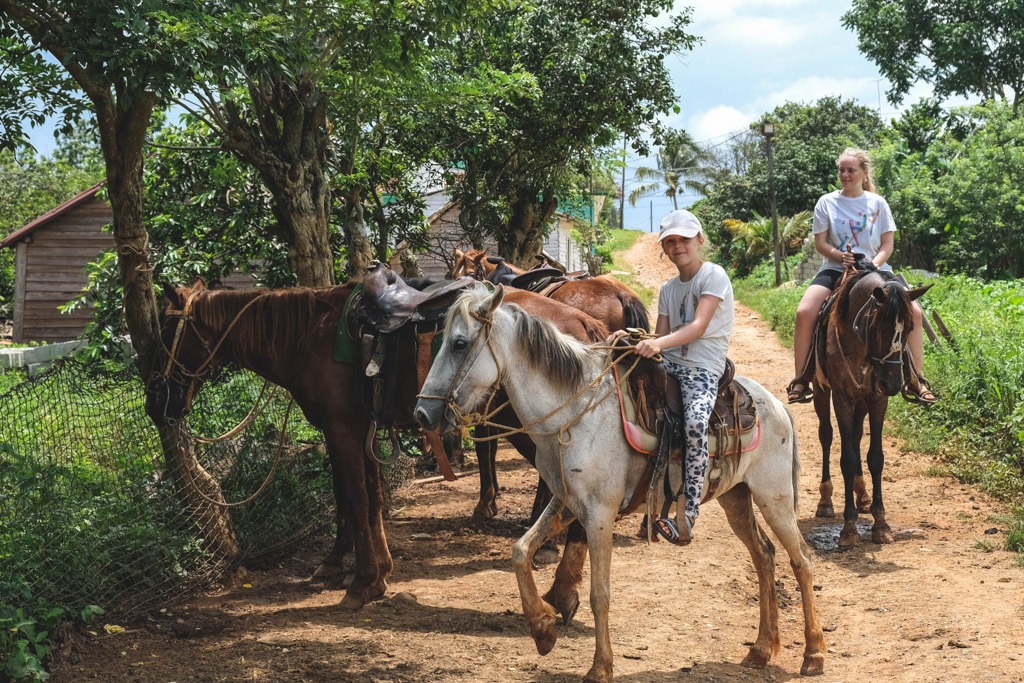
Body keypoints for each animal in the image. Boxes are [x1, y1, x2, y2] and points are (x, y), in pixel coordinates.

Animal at [144, 272, 606, 610]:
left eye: (165, 333)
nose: (155, 404)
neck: (308, 336)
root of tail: (583, 321)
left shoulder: (341, 430)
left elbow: (351, 497)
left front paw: (362, 581)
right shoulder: (360, 429)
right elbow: (371, 498)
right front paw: (374, 568)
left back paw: (558, 577)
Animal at [411, 286, 827, 679]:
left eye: (459, 343)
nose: (422, 413)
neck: (575, 412)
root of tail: (775, 404)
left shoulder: (599, 514)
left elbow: (600, 593)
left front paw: (600, 667)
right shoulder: (563, 502)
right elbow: (520, 551)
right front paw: (543, 629)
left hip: (774, 498)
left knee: (802, 560)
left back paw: (813, 654)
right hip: (736, 498)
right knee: (765, 557)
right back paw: (761, 650)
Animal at [811, 270, 933, 548]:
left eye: (910, 328)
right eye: (878, 326)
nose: (893, 384)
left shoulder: (877, 399)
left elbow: (875, 458)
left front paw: (880, 524)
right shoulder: (843, 398)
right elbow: (846, 459)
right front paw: (848, 529)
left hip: (863, 400)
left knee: (856, 436)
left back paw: (863, 496)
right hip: (821, 390)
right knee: (826, 436)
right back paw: (825, 501)